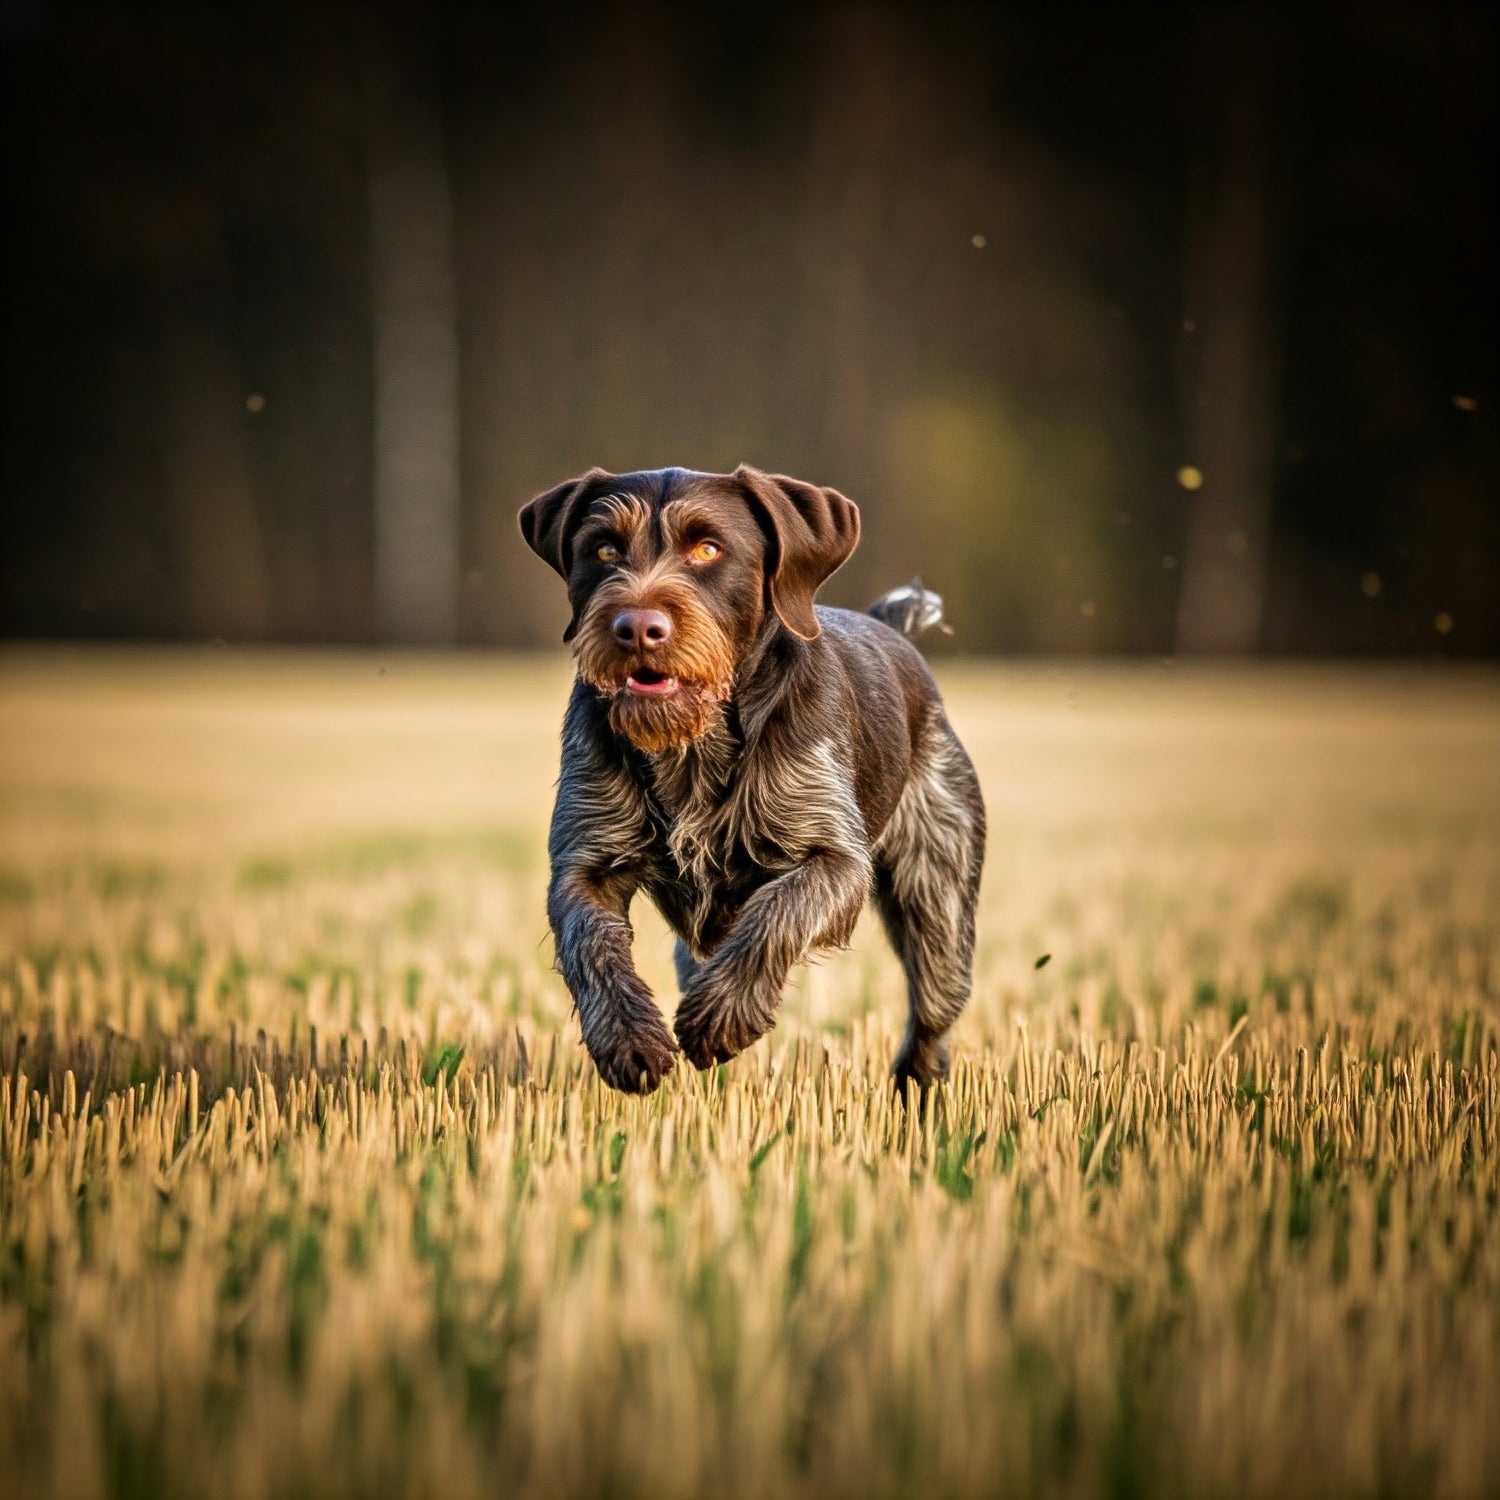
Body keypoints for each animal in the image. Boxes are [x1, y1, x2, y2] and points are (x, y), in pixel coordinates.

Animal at [519, 462, 984, 1098]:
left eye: (709, 548)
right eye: (605, 548)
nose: (636, 627)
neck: (694, 746)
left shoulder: (834, 856)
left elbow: (776, 912)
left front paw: (721, 1017)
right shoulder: (584, 863)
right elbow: (590, 943)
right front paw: (627, 1038)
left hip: (938, 892)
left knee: (936, 1004)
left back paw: (917, 1086)